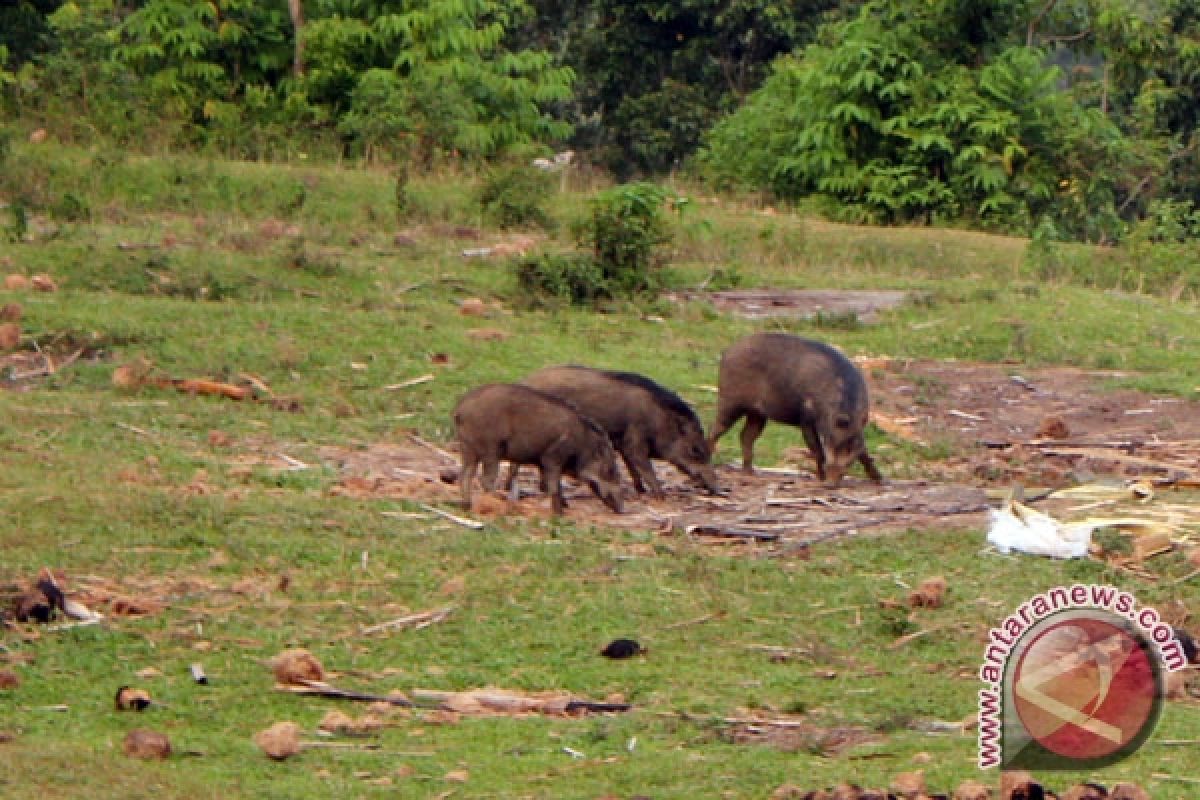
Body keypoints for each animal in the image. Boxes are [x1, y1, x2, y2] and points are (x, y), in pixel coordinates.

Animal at [448, 383, 624, 515]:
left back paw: (466, 506)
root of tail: (459, 411)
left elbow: (550, 485)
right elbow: (553, 485)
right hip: (491, 449)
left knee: (465, 476)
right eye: (611, 471)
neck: (582, 444)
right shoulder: (552, 457)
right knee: (485, 479)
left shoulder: (543, 462)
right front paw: (559, 513)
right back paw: (500, 503)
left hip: (468, 449)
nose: (623, 510)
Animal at [518, 367, 720, 494]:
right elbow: (644, 466)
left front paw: (641, 491)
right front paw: (660, 495)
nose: (717, 490)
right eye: (695, 450)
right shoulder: (635, 440)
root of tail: (525, 381)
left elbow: (633, 468)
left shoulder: (623, 445)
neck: (659, 420)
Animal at [700, 333, 883, 484]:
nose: (831, 484)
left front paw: (880, 480)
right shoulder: (806, 418)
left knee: (746, 436)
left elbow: (865, 453)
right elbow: (817, 449)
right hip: (730, 401)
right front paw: (821, 478)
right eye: (834, 441)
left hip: (758, 413)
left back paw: (750, 472)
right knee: (715, 429)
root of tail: (727, 351)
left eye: (852, 445)